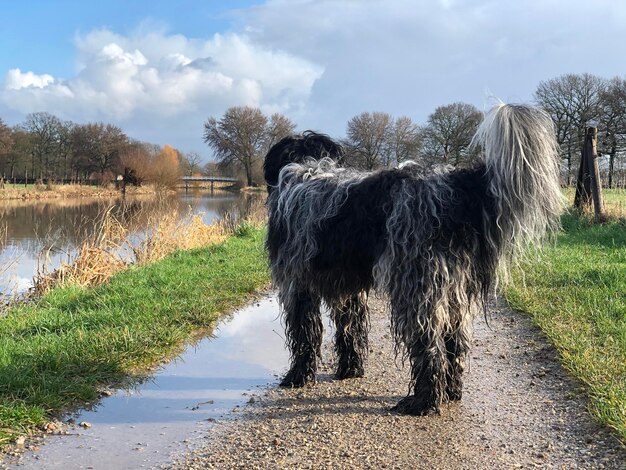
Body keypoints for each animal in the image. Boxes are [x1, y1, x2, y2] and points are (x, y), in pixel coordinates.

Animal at [264, 103, 560, 414]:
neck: (306, 170)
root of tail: (454, 187)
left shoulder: (297, 285)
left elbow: (305, 334)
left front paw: (297, 376)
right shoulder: (347, 290)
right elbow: (350, 330)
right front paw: (350, 370)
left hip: (415, 288)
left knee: (430, 347)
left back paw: (422, 401)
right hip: (451, 288)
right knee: (454, 343)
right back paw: (451, 392)